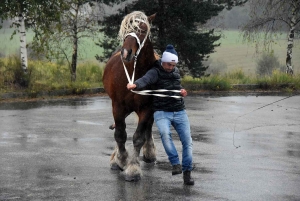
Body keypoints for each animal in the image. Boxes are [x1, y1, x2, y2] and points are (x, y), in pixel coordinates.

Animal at [102, 11, 157, 181]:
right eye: (125, 30)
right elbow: (120, 134)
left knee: (149, 126)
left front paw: (133, 168)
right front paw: (121, 159)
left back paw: (149, 152)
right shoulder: (118, 105)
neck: (136, 73)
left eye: (143, 30)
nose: (126, 53)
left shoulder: (147, 107)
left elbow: (138, 137)